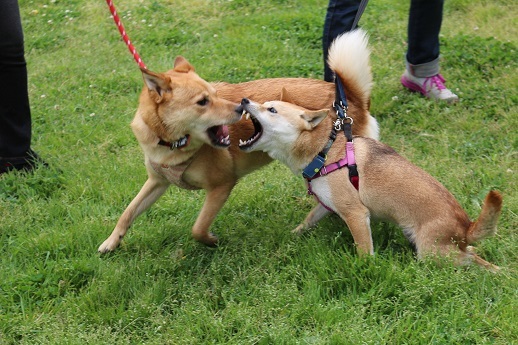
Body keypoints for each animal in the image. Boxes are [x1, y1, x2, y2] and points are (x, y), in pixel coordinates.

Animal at [98, 29, 382, 251]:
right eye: (203, 101)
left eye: (214, 93)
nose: (239, 107)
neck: (171, 144)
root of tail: (350, 97)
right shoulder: (156, 181)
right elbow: (128, 212)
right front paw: (111, 242)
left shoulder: (222, 185)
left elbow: (198, 228)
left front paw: (211, 240)